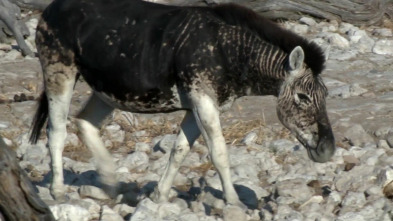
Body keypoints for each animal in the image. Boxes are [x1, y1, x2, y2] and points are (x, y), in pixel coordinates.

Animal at [29, 0, 334, 209]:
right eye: (303, 98)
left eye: (326, 94)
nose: (328, 150)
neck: (229, 50)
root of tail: (52, 7)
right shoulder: (202, 99)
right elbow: (219, 153)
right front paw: (234, 201)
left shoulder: (198, 105)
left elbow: (179, 151)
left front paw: (159, 195)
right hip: (59, 71)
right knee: (57, 131)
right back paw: (58, 191)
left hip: (106, 89)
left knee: (84, 122)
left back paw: (111, 183)